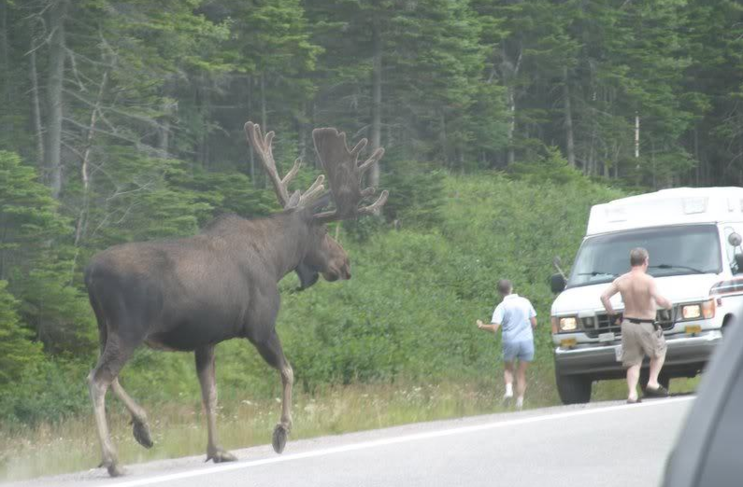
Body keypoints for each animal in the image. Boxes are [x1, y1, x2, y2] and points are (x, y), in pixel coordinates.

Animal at [85, 122, 390, 476]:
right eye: (325, 233)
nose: (345, 263)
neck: (276, 259)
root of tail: (89, 273)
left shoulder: (206, 341)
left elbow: (210, 394)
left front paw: (217, 450)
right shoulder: (261, 327)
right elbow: (288, 371)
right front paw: (281, 431)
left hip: (105, 328)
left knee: (106, 375)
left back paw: (142, 427)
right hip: (129, 329)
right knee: (98, 379)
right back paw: (112, 459)